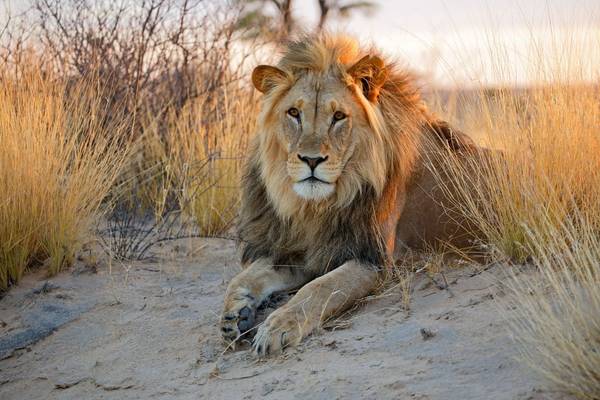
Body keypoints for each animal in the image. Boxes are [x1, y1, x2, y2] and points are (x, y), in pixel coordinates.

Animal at [220, 32, 488, 354]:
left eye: (338, 116)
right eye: (294, 113)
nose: (311, 160)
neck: (316, 207)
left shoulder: (372, 259)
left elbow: (318, 289)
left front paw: (277, 327)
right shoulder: (304, 250)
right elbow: (243, 277)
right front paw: (236, 314)